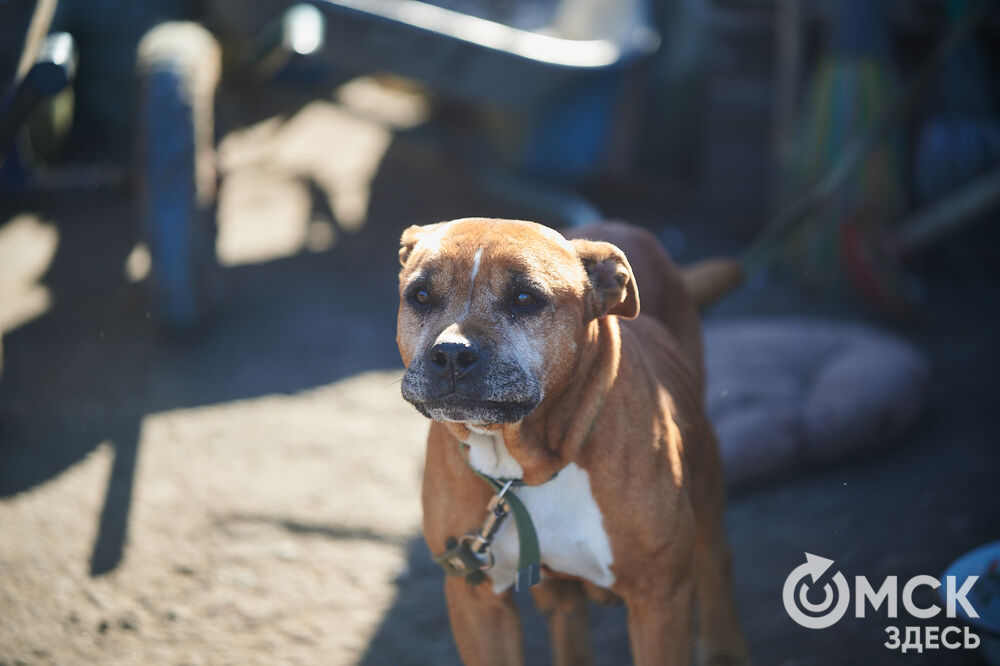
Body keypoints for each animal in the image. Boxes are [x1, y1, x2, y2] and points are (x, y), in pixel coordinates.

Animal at [394, 219, 748, 664]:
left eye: (525, 298)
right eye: (421, 296)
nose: (452, 354)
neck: (530, 467)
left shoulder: (660, 596)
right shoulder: (478, 603)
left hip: (705, 474)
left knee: (715, 556)